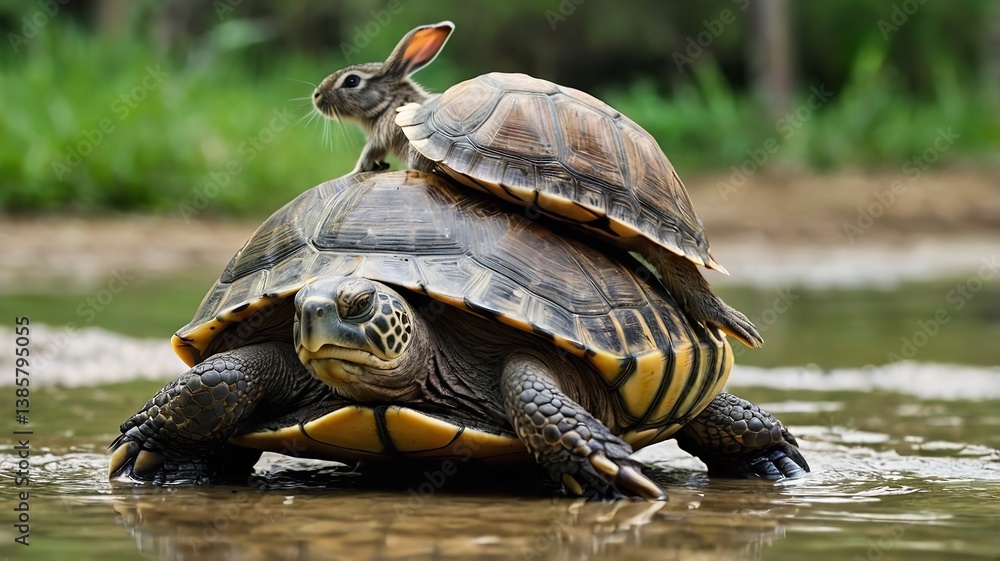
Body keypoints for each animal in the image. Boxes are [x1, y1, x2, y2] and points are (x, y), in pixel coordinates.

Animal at [312, 22, 454, 174]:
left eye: (352, 81)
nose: (316, 96)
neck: (389, 103)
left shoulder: (380, 135)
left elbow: (368, 155)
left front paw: (356, 171)